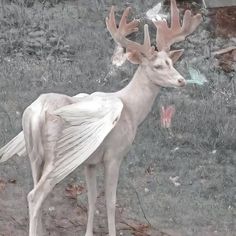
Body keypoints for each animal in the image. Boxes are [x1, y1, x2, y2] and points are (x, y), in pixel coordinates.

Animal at [0, 0, 203, 235]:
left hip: (34, 153)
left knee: (35, 190)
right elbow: (110, 200)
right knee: (35, 195)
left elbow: (91, 197)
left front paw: (88, 232)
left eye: (171, 61)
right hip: (57, 156)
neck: (133, 111)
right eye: (158, 66)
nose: (181, 81)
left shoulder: (90, 162)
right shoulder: (114, 155)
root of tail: (38, 113)